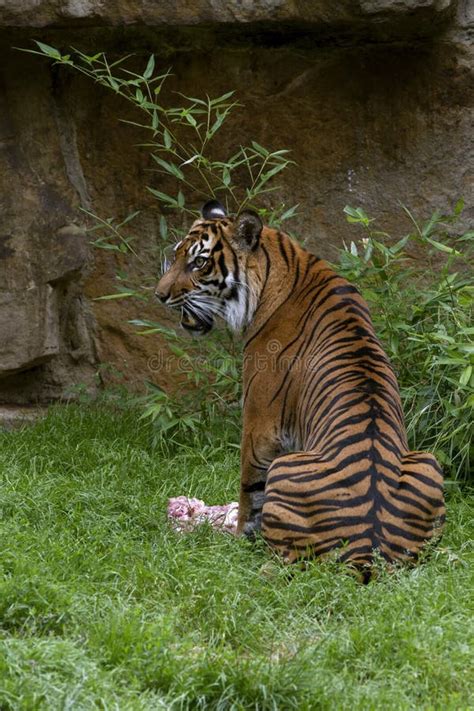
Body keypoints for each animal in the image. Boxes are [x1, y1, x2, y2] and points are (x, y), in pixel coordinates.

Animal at [155, 203, 444, 572]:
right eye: (177, 255)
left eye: (199, 263)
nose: (159, 295)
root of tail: (368, 546)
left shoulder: (260, 424)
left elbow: (250, 489)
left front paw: (239, 533)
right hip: (428, 462)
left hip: (285, 469)